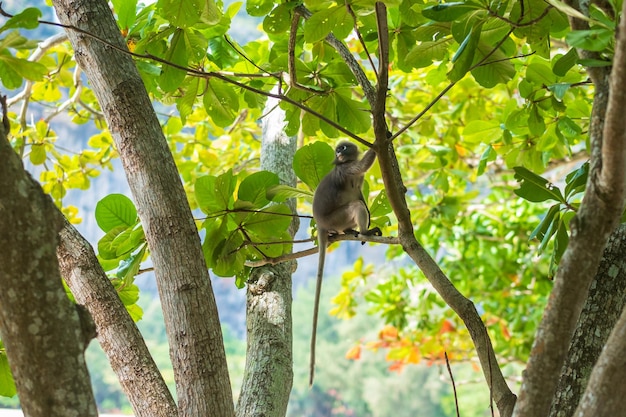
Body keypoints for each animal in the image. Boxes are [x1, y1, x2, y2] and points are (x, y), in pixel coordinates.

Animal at [308, 140, 380, 384]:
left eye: (343, 148)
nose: (339, 153)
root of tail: (321, 224)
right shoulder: (347, 170)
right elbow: (364, 164)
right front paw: (382, 139)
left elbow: (361, 195)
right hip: (336, 218)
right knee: (356, 206)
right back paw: (365, 231)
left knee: (358, 203)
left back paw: (352, 231)